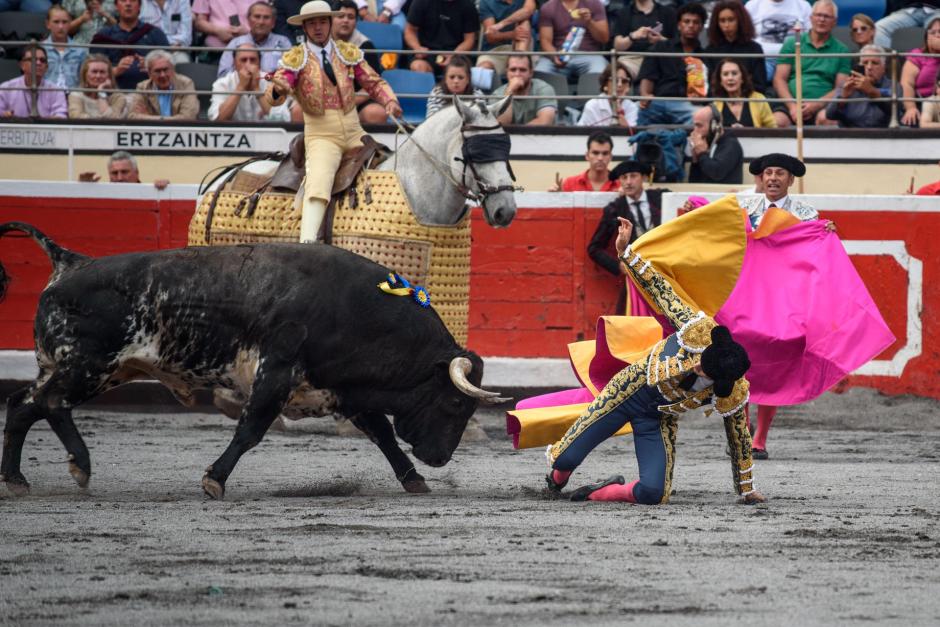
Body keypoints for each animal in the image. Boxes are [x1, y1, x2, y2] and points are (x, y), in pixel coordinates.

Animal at [0, 221, 506, 500]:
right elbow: (251, 428)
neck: (355, 309)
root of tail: (69, 262)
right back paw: (80, 465)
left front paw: (414, 480)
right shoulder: (277, 370)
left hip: (90, 368)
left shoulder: (342, 388)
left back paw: (18, 479)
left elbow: (382, 435)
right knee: (50, 404)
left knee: (24, 405)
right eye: (457, 404)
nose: (440, 458)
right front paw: (214, 481)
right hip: (89, 365)